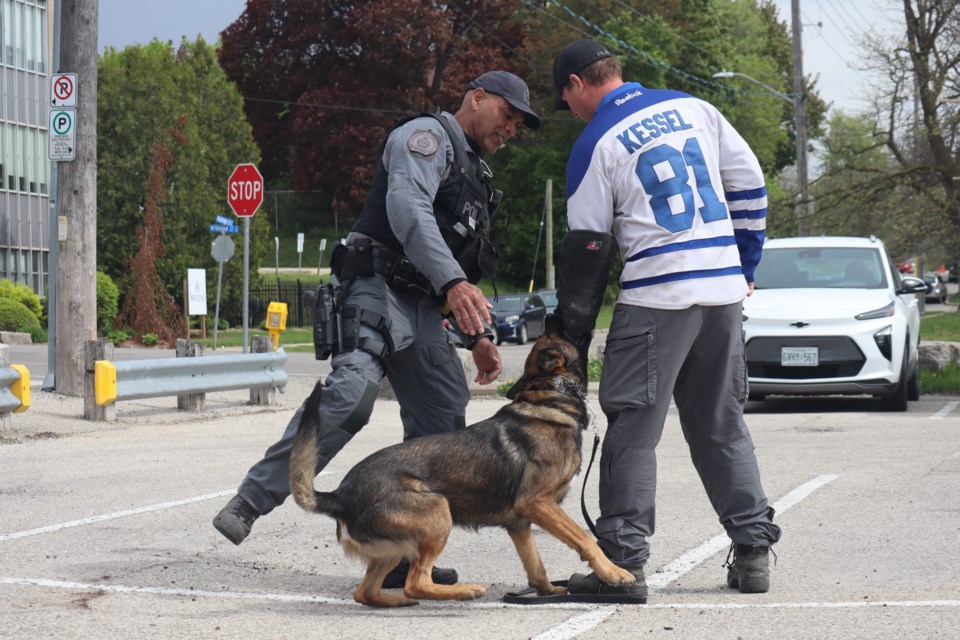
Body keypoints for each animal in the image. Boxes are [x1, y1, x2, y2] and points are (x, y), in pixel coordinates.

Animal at [288, 318, 632, 608]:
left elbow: (536, 564)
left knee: (365, 592)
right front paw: (613, 572)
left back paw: (396, 600)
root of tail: (339, 495)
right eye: (560, 333)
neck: (550, 398)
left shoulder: (520, 523)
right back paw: (465, 591)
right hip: (438, 510)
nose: (548, 316)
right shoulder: (539, 504)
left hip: (398, 546)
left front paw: (546, 591)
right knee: (415, 582)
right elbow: (585, 539)